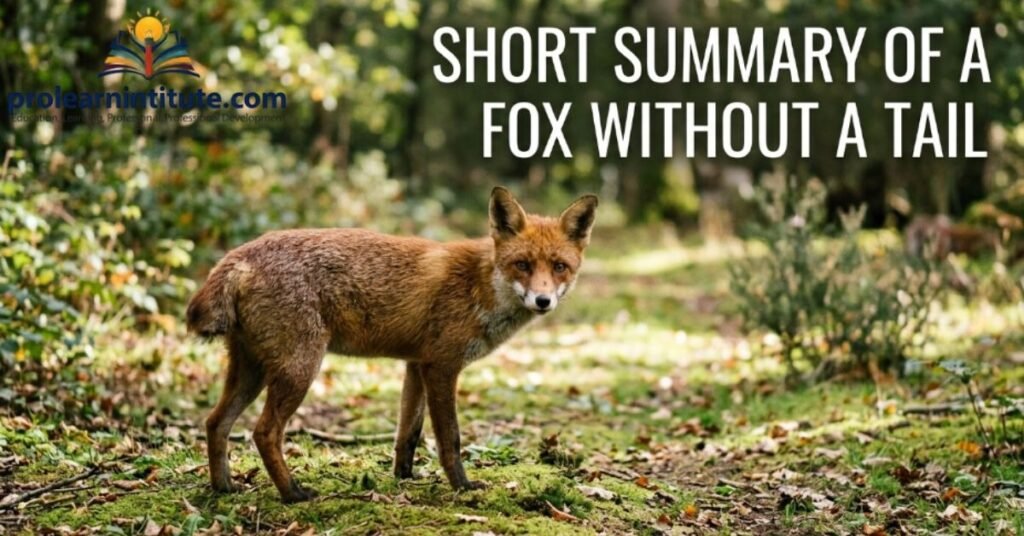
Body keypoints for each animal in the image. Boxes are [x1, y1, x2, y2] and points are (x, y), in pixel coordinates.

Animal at [186, 187, 598, 503]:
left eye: (559, 266)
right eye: (523, 265)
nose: (543, 301)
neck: (479, 286)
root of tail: (239, 255)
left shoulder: (416, 365)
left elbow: (408, 433)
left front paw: (404, 477)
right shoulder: (442, 367)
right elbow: (450, 438)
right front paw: (462, 487)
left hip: (251, 370)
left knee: (215, 422)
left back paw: (223, 488)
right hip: (299, 369)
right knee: (264, 432)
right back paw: (292, 494)